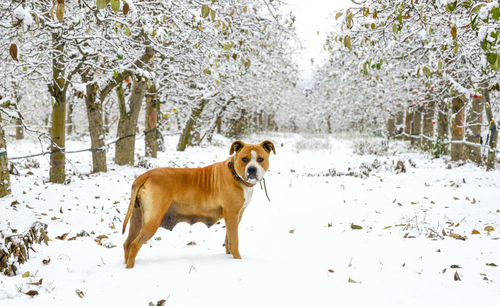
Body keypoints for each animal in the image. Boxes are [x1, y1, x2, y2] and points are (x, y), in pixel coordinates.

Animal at [122, 140, 276, 266]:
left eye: (260, 159)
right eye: (244, 159)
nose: (252, 169)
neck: (235, 175)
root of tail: (145, 175)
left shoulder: (235, 216)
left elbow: (228, 239)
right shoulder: (232, 214)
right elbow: (235, 240)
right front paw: (238, 260)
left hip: (137, 219)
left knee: (127, 244)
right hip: (153, 220)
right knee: (135, 245)